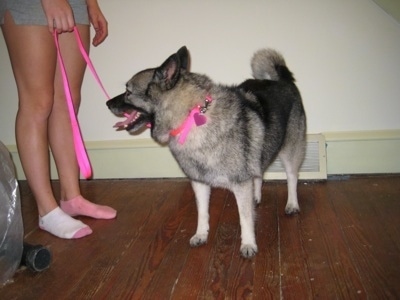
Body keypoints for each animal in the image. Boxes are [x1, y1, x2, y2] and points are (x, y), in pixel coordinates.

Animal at [106, 47, 306, 258]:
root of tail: (282, 79)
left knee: (292, 178)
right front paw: (201, 234)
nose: (107, 103)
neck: (189, 118)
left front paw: (248, 244)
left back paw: (292, 204)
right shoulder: (200, 183)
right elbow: (202, 212)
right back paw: (256, 196)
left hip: (290, 151)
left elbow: (245, 218)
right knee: (259, 174)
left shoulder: (240, 183)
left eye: (128, 92)